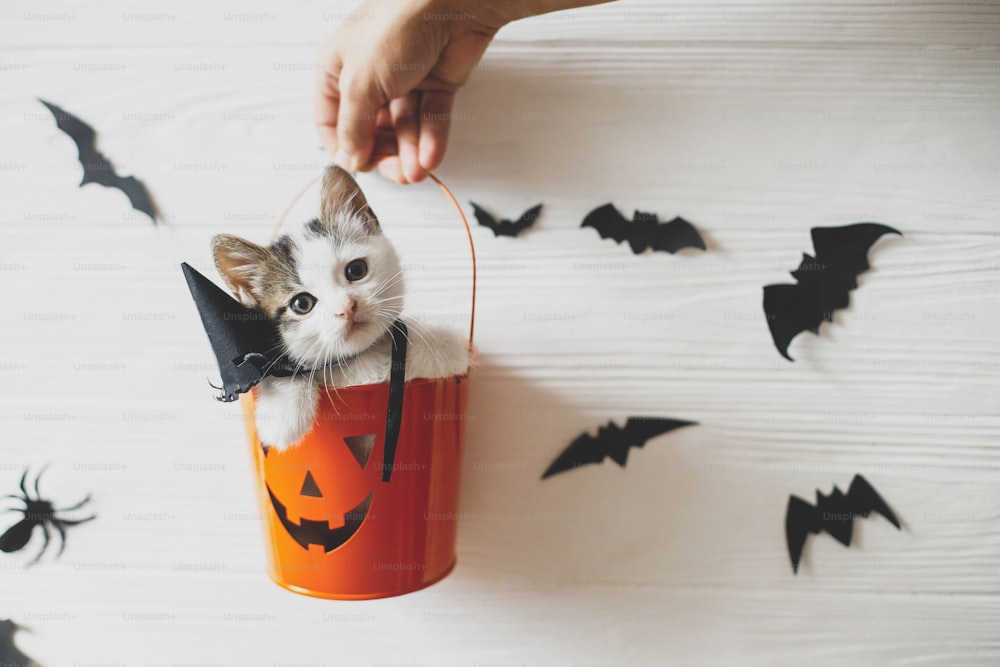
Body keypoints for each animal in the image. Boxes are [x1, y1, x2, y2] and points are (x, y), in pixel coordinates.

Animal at [210, 164, 472, 452]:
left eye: (356, 270)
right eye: (301, 304)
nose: (347, 308)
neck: (357, 362)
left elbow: (445, 348)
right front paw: (281, 416)